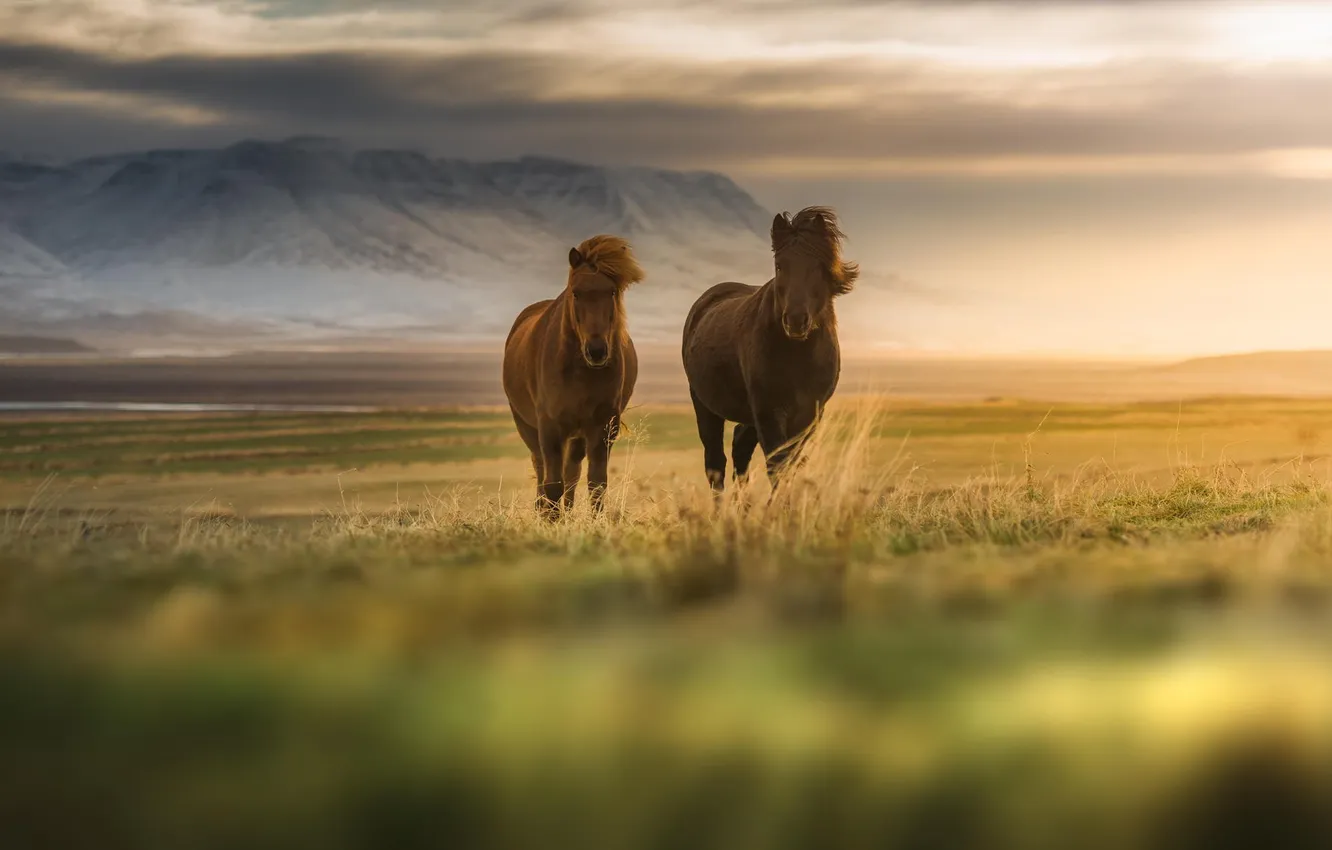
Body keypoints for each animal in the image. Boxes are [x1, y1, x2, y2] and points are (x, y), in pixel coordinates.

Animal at [503, 235, 645, 518]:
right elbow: (552, 483)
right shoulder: (549, 426)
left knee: (571, 473)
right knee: (541, 469)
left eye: (612, 292)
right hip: (527, 426)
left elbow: (596, 483)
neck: (580, 372)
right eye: (576, 292)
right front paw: (551, 520)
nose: (597, 351)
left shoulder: (602, 426)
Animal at [681, 206, 858, 495]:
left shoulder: (810, 415)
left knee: (740, 448)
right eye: (779, 266)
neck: (798, 355)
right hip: (705, 405)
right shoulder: (769, 412)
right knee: (716, 464)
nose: (796, 321)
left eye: (818, 267)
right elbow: (778, 466)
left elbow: (790, 465)